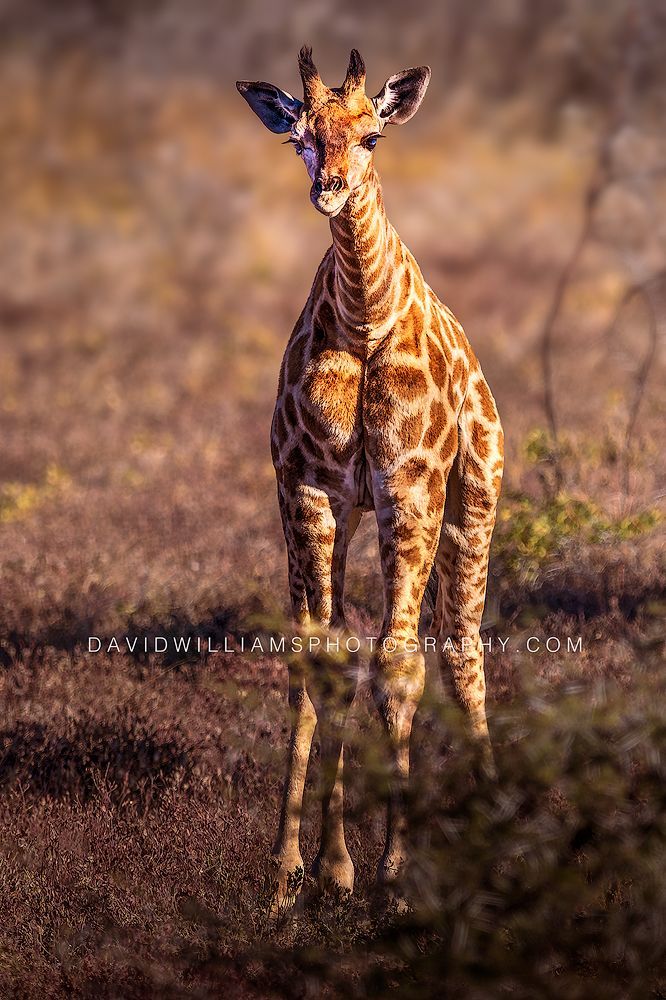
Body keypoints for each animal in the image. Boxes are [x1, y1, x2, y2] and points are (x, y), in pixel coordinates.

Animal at [237, 47, 504, 912]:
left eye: (373, 135)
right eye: (301, 138)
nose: (329, 190)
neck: (361, 319)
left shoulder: (409, 486)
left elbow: (398, 663)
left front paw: (393, 879)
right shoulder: (310, 491)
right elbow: (323, 660)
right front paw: (303, 871)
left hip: (473, 499)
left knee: (460, 649)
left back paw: (496, 828)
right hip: (344, 517)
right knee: (339, 651)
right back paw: (318, 866)